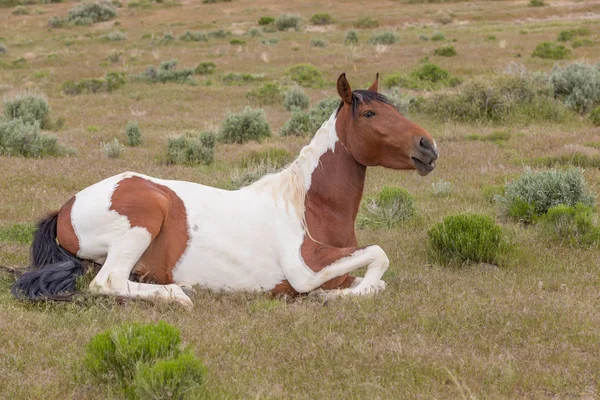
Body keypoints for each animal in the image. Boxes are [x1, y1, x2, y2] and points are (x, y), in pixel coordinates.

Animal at [11, 73, 438, 308]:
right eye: (369, 113)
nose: (428, 147)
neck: (307, 206)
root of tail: (66, 207)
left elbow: (377, 281)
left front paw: (339, 295)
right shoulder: (305, 269)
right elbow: (378, 256)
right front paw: (325, 297)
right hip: (144, 216)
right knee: (108, 282)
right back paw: (177, 295)